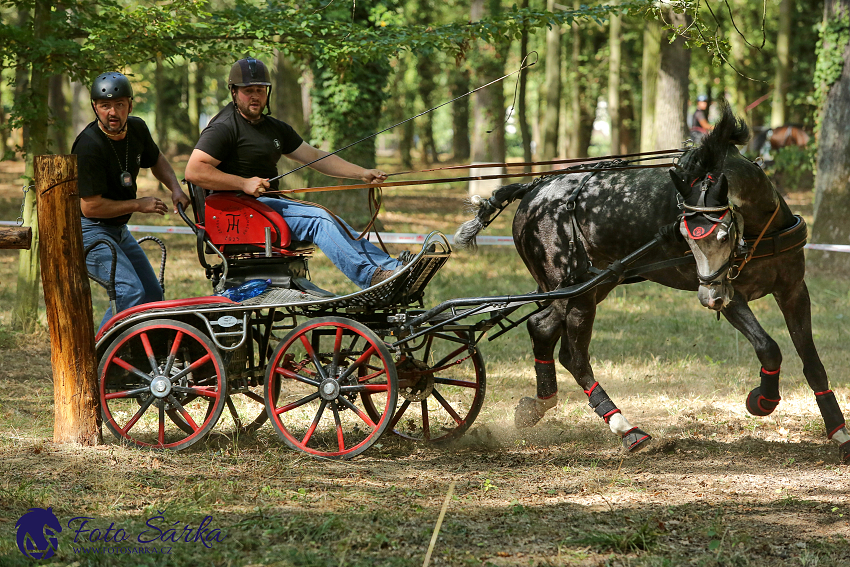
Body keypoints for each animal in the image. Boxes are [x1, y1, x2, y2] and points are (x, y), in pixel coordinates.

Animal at [458, 104, 848, 464]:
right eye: (685, 236)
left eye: (723, 233)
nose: (708, 299)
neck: (758, 230)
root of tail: (536, 188)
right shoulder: (731, 293)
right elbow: (769, 347)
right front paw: (763, 400)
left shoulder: (793, 290)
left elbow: (811, 360)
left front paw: (838, 430)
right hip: (574, 290)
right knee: (573, 354)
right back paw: (625, 428)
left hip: (588, 285)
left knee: (542, 327)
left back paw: (539, 404)